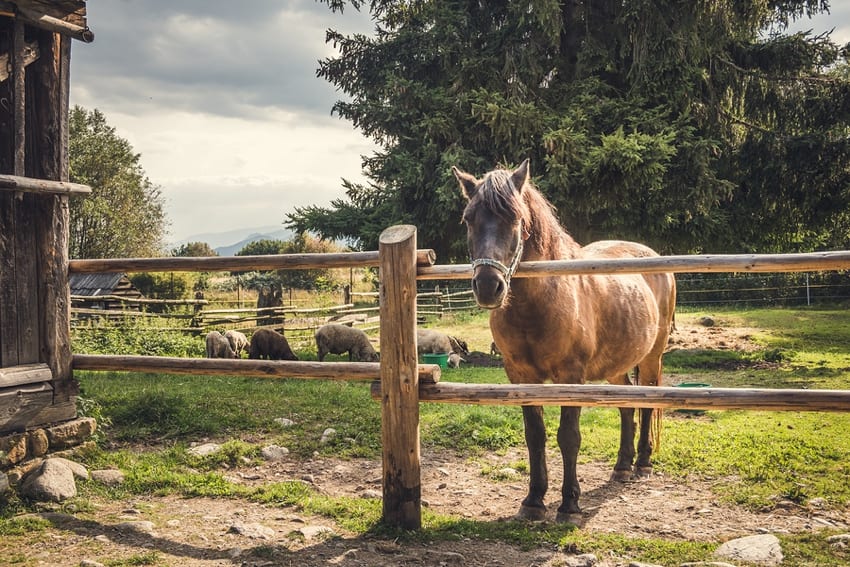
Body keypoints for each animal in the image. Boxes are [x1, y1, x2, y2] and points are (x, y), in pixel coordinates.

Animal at [450, 159, 676, 524]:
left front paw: (569, 504)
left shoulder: (571, 377)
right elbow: (535, 436)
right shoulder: (521, 377)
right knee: (627, 405)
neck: (540, 302)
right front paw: (533, 501)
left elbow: (568, 437)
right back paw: (622, 466)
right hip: (618, 365)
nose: (488, 286)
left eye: (516, 218)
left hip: (651, 358)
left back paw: (642, 462)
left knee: (646, 402)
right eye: (469, 219)